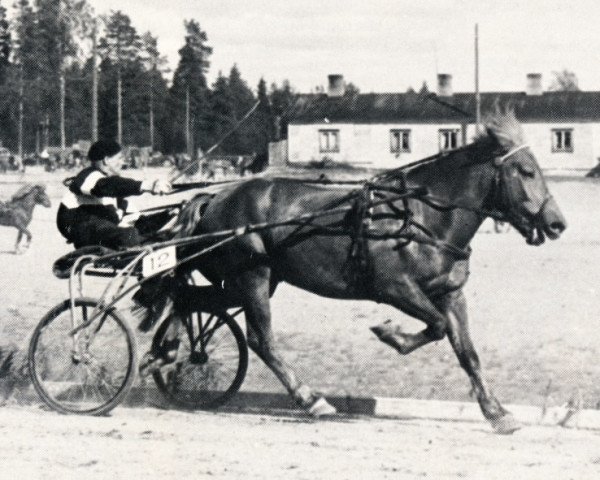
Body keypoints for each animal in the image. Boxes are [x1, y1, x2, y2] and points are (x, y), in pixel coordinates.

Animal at [172, 112, 564, 436]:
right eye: (526, 171)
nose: (557, 223)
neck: (422, 216)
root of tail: (215, 197)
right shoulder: (395, 288)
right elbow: (436, 326)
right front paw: (392, 334)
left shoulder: (451, 294)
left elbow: (467, 352)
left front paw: (497, 412)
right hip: (252, 276)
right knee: (260, 339)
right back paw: (310, 398)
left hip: (254, 281)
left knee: (186, 303)